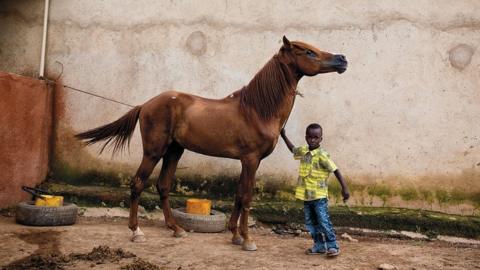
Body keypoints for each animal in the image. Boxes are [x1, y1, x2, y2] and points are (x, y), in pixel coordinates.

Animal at [75, 36, 346, 251]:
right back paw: (136, 232)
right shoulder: (251, 160)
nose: (342, 59)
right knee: (138, 184)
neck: (257, 110)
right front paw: (247, 240)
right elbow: (247, 196)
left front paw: (235, 235)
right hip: (154, 152)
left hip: (174, 151)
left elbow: (238, 193)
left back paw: (176, 229)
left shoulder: (247, 161)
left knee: (163, 186)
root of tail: (146, 104)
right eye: (308, 52)